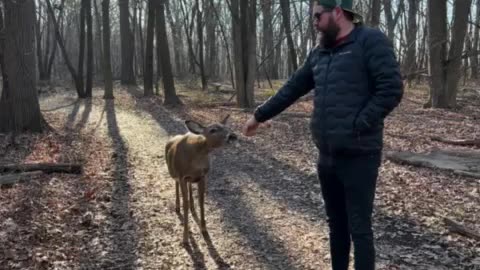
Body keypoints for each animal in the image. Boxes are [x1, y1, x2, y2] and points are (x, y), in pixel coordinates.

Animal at [165, 114, 238, 245]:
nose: (232, 136)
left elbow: (201, 202)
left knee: (189, 188)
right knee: (176, 185)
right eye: (212, 130)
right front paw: (185, 239)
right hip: (174, 173)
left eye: (226, 127)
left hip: (191, 178)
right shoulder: (182, 175)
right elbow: (185, 204)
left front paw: (204, 229)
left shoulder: (203, 176)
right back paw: (177, 207)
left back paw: (192, 208)